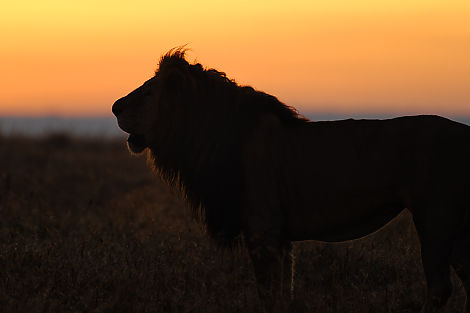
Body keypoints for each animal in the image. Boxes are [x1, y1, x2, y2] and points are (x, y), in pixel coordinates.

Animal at [114, 48, 470, 312]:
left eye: (147, 92)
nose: (115, 107)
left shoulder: (263, 233)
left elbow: (269, 299)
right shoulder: (281, 238)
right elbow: (285, 296)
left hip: (434, 216)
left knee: (439, 288)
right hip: (454, 227)